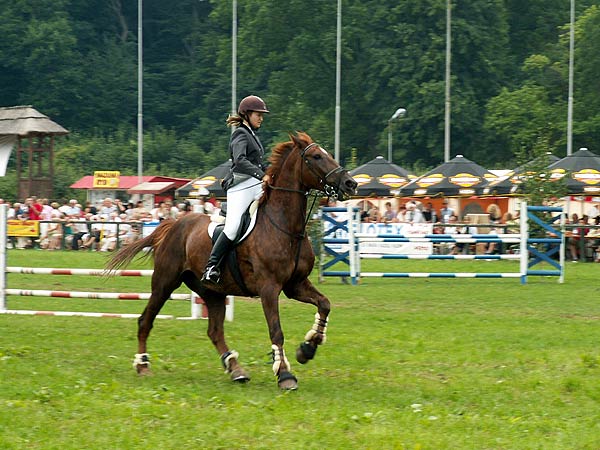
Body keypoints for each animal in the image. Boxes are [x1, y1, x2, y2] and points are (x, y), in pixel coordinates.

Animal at [105, 132, 356, 388]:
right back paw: (143, 365)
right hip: (164, 283)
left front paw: (307, 348)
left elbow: (324, 304)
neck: (284, 226)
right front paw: (285, 375)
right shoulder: (269, 288)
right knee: (145, 320)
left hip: (211, 292)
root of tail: (173, 223)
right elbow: (276, 330)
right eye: (316, 156)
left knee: (214, 331)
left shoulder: (295, 285)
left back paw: (236, 369)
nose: (350, 183)